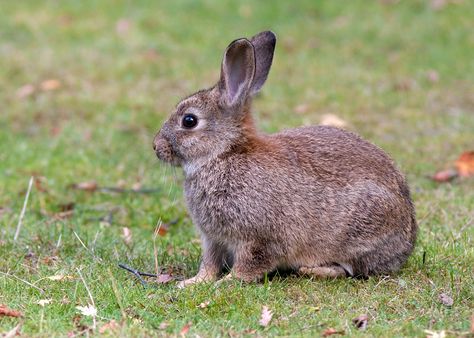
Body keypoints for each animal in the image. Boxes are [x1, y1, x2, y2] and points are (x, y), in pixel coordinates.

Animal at [154, 31, 416, 288]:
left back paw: (312, 270)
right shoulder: (212, 239)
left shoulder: (259, 237)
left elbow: (250, 263)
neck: (225, 153)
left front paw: (227, 282)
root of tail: (407, 242)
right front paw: (193, 282)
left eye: (189, 121)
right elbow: (209, 263)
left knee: (349, 269)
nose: (156, 146)